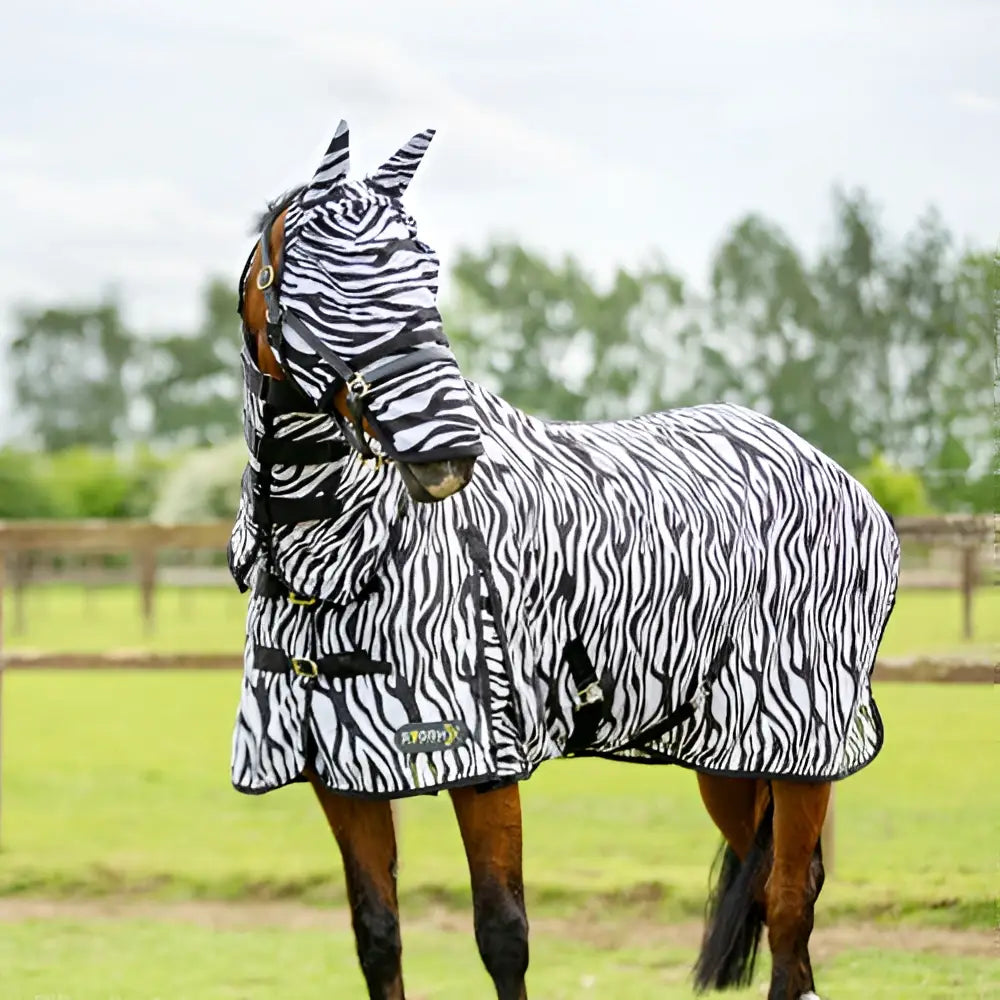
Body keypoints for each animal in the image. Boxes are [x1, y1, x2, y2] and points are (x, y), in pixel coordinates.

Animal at [228, 119, 899, 1000]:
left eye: (427, 272)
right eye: (325, 281)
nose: (449, 450)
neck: (334, 565)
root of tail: (827, 468)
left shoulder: (484, 757)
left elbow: (502, 933)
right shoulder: (340, 775)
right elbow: (377, 936)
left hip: (802, 744)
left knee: (790, 904)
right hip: (728, 756)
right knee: (778, 889)